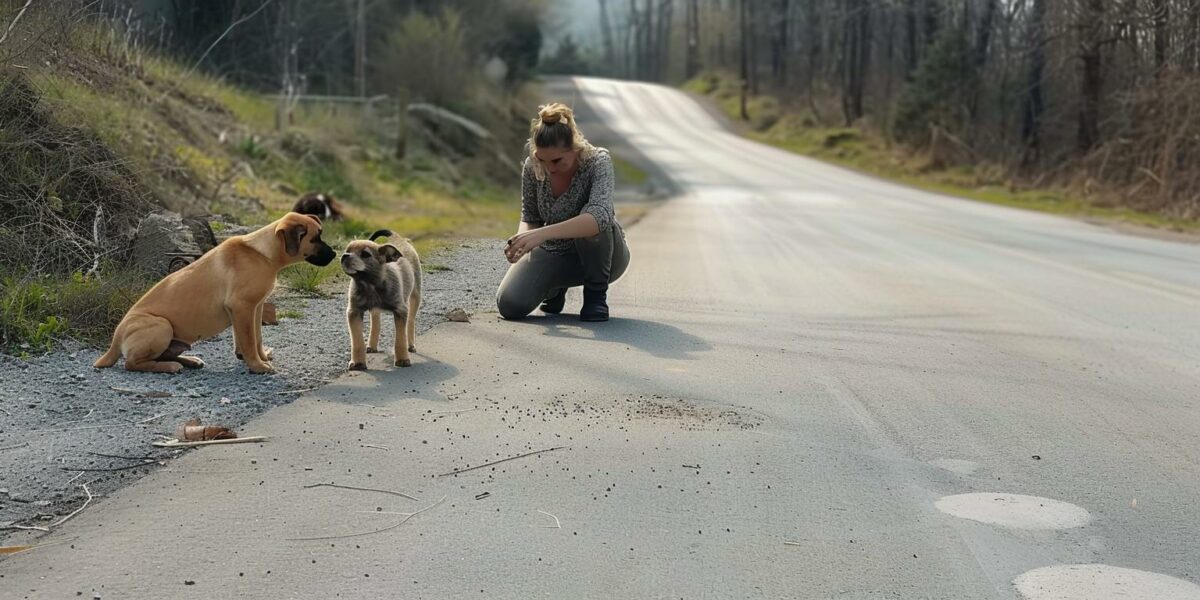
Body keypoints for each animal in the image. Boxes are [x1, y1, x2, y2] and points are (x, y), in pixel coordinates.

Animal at [94, 213, 336, 372]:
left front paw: (257, 357)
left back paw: (189, 361)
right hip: (161, 325)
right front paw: (258, 365)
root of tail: (115, 340)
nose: (335, 255)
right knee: (131, 364)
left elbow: (255, 338)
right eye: (315, 238)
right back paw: (170, 366)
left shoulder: (254, 308)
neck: (262, 253)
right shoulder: (242, 307)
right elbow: (249, 341)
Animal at [340, 229, 424, 369]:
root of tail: (398, 239)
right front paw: (358, 362)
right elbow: (357, 341)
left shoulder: (400, 311)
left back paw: (411, 344)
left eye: (365, 254)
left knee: (411, 321)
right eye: (347, 250)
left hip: (415, 295)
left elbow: (400, 338)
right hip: (375, 309)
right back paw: (372, 345)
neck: (370, 285)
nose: (344, 256)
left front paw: (402, 359)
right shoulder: (354, 312)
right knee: (375, 322)